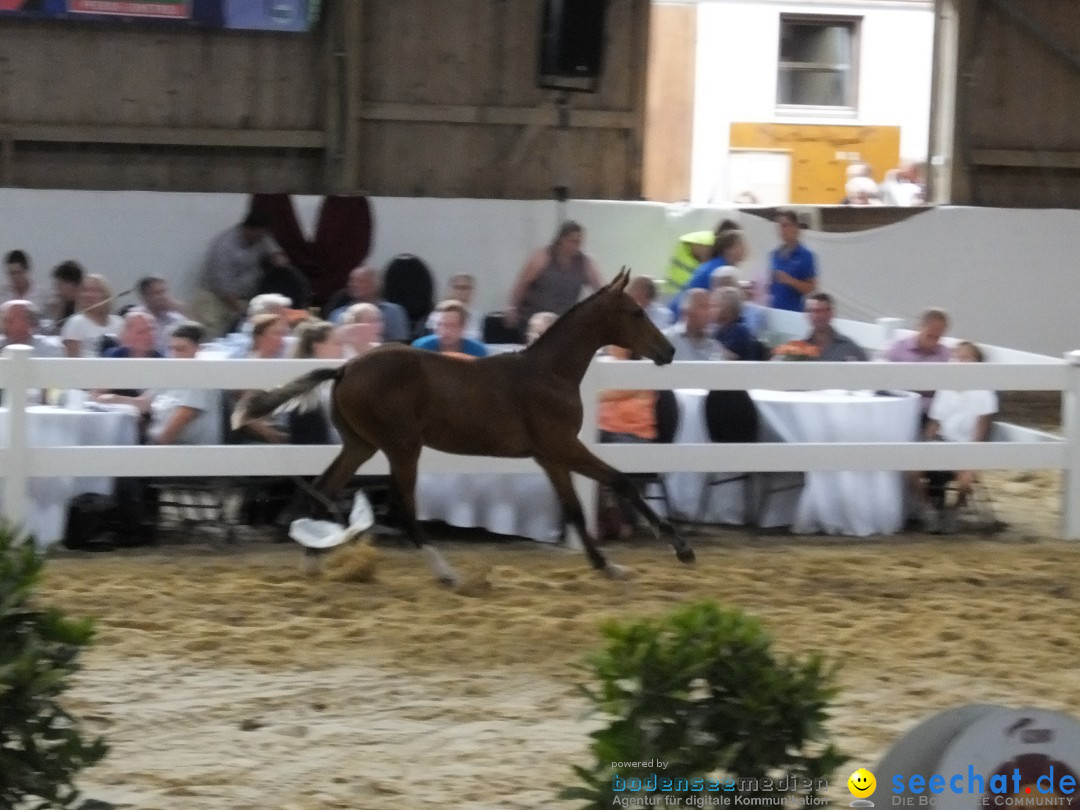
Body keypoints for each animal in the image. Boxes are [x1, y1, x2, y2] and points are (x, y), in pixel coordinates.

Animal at [232, 270, 695, 587]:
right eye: (635, 312)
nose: (668, 350)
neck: (550, 373)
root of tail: (345, 367)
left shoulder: (550, 456)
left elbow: (574, 510)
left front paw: (606, 565)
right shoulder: (564, 445)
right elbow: (621, 482)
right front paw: (681, 548)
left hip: (361, 445)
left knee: (324, 487)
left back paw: (311, 561)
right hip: (402, 447)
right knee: (402, 507)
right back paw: (446, 573)